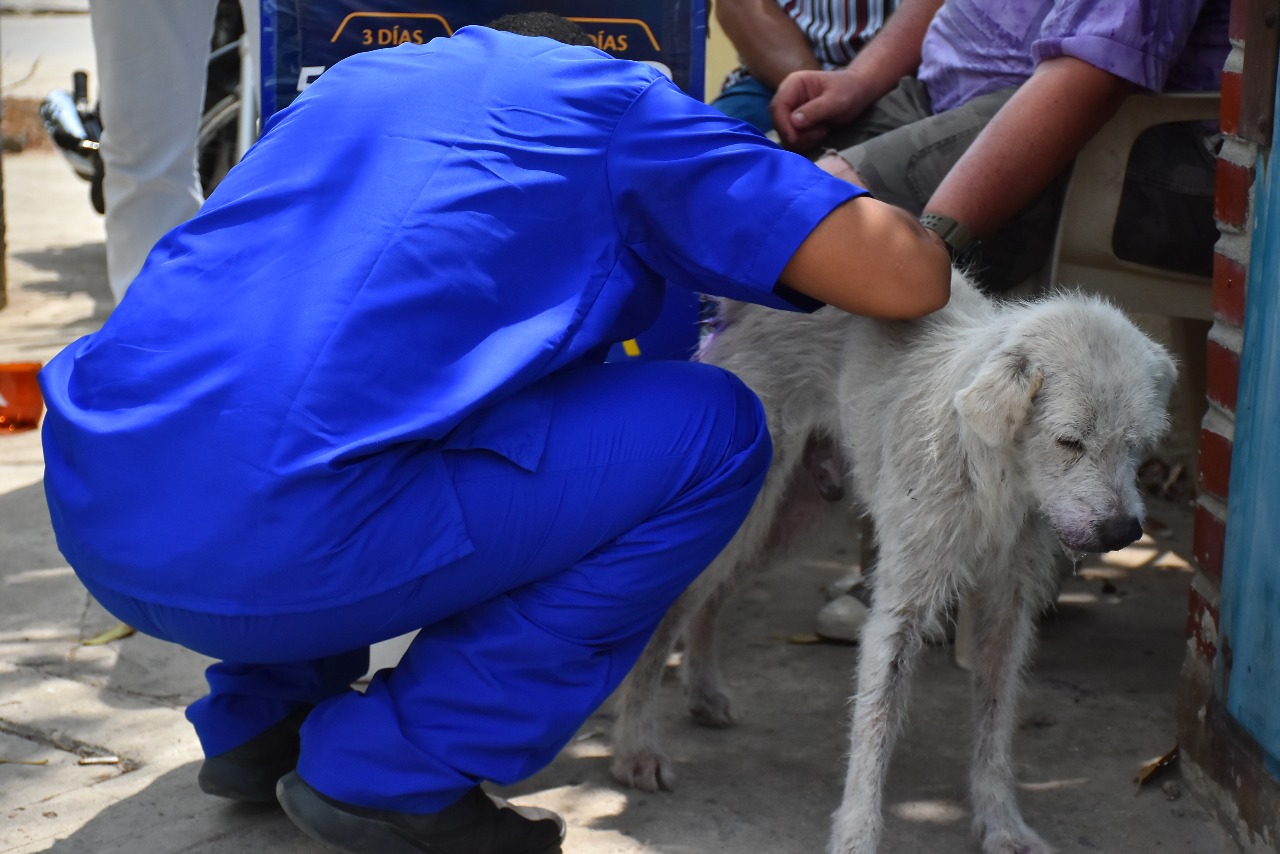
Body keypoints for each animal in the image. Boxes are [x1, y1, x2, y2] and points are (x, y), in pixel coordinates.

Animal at [604, 272, 1172, 854]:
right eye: (1069, 441)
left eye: (1136, 446)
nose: (1124, 532)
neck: (994, 478)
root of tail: (745, 305)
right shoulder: (898, 615)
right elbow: (874, 729)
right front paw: (856, 835)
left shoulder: (1006, 613)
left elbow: (995, 722)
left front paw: (1001, 822)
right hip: (746, 514)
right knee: (672, 608)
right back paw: (634, 747)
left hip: (790, 525)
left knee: (710, 599)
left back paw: (701, 691)